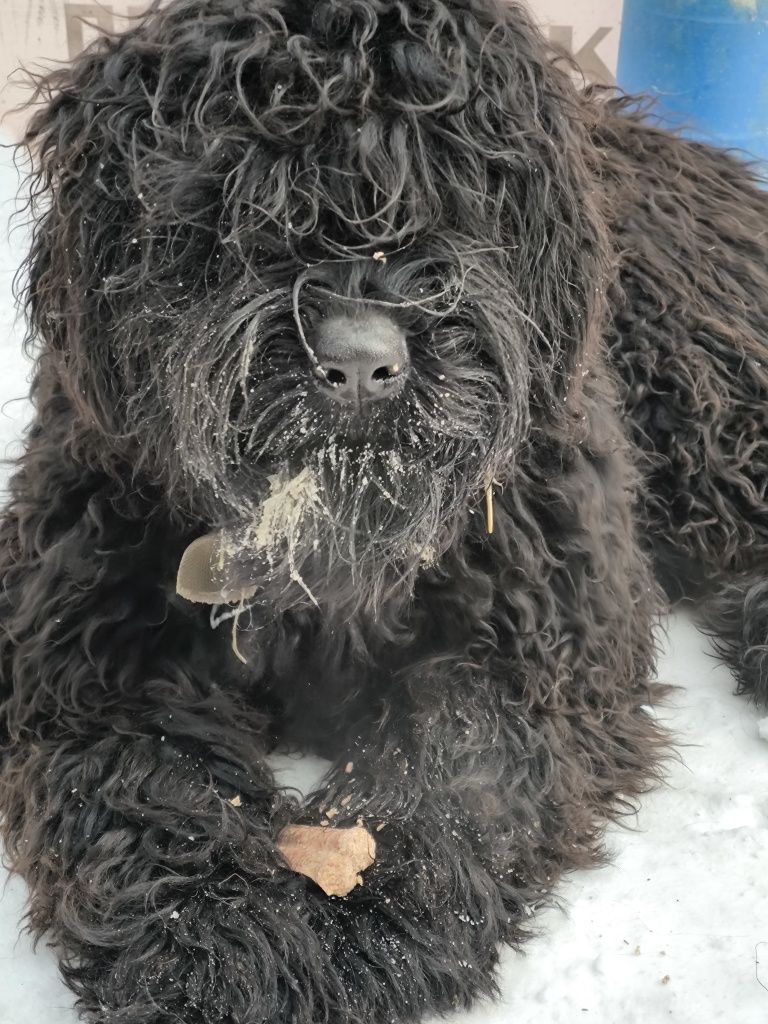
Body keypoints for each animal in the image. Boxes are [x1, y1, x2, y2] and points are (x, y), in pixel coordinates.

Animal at [1, 0, 768, 1019]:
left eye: (451, 191)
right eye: (231, 204)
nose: (362, 364)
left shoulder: (534, 643)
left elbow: (449, 771)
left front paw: (361, 933)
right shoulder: (88, 652)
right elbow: (144, 779)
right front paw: (217, 942)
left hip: (704, 393)